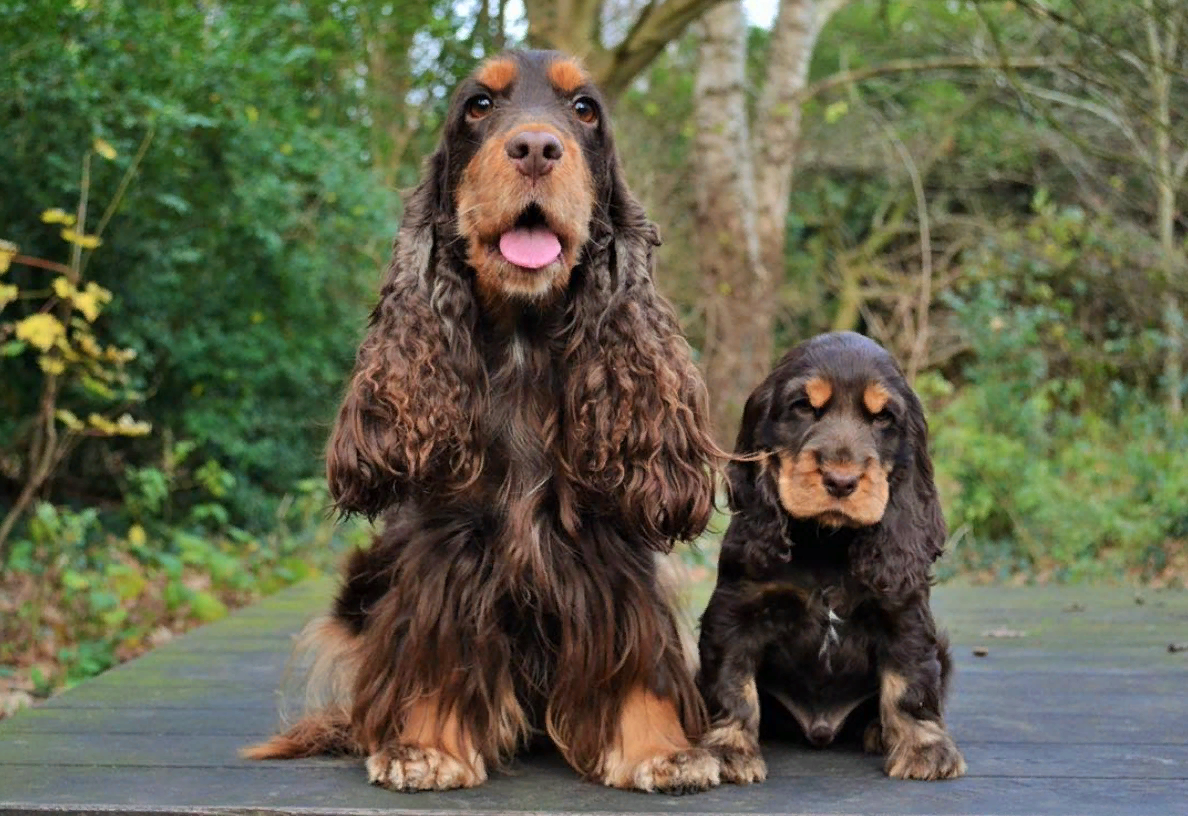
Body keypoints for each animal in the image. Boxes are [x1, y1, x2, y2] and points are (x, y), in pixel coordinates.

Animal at [244, 49, 717, 793]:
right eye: (478, 106)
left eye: (584, 109)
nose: (536, 148)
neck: (523, 346)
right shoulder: (447, 543)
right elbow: (439, 647)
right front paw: (426, 748)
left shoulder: (613, 545)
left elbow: (640, 651)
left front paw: (659, 750)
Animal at [693, 330, 964, 783]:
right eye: (804, 407)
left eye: (883, 418)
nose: (841, 480)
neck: (827, 542)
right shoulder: (736, 613)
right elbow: (733, 684)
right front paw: (729, 748)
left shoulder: (903, 613)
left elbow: (909, 683)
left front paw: (925, 748)